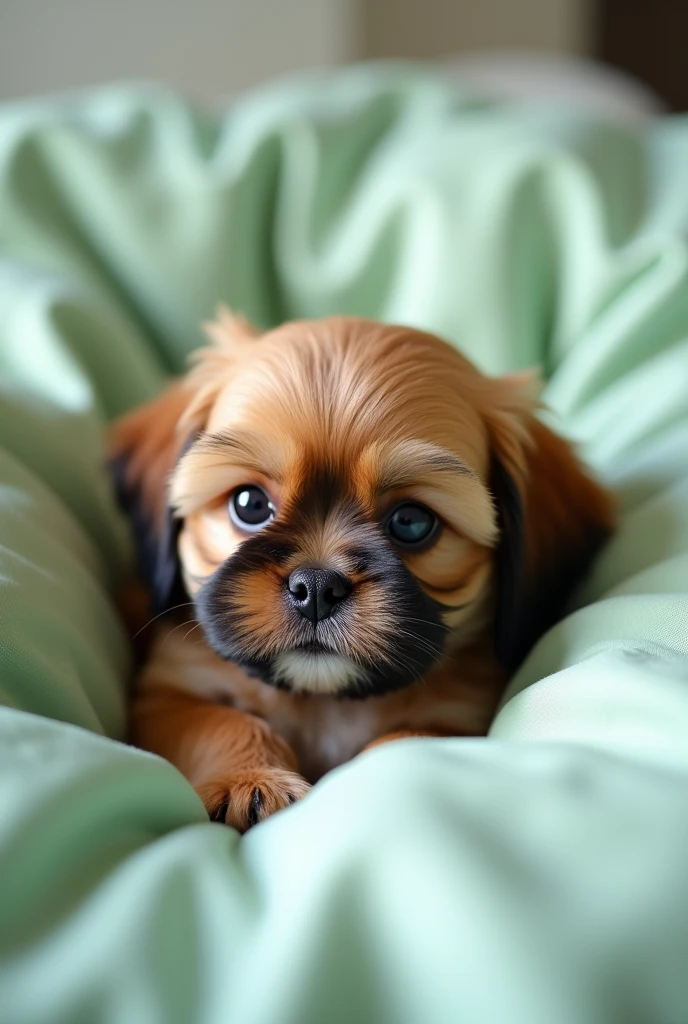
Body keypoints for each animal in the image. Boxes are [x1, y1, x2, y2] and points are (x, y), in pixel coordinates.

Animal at [110, 311, 614, 831]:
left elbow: (410, 740)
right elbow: (222, 722)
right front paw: (250, 780)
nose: (316, 587)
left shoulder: (458, 720)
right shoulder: (168, 694)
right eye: (248, 504)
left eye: (411, 522)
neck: (324, 704)